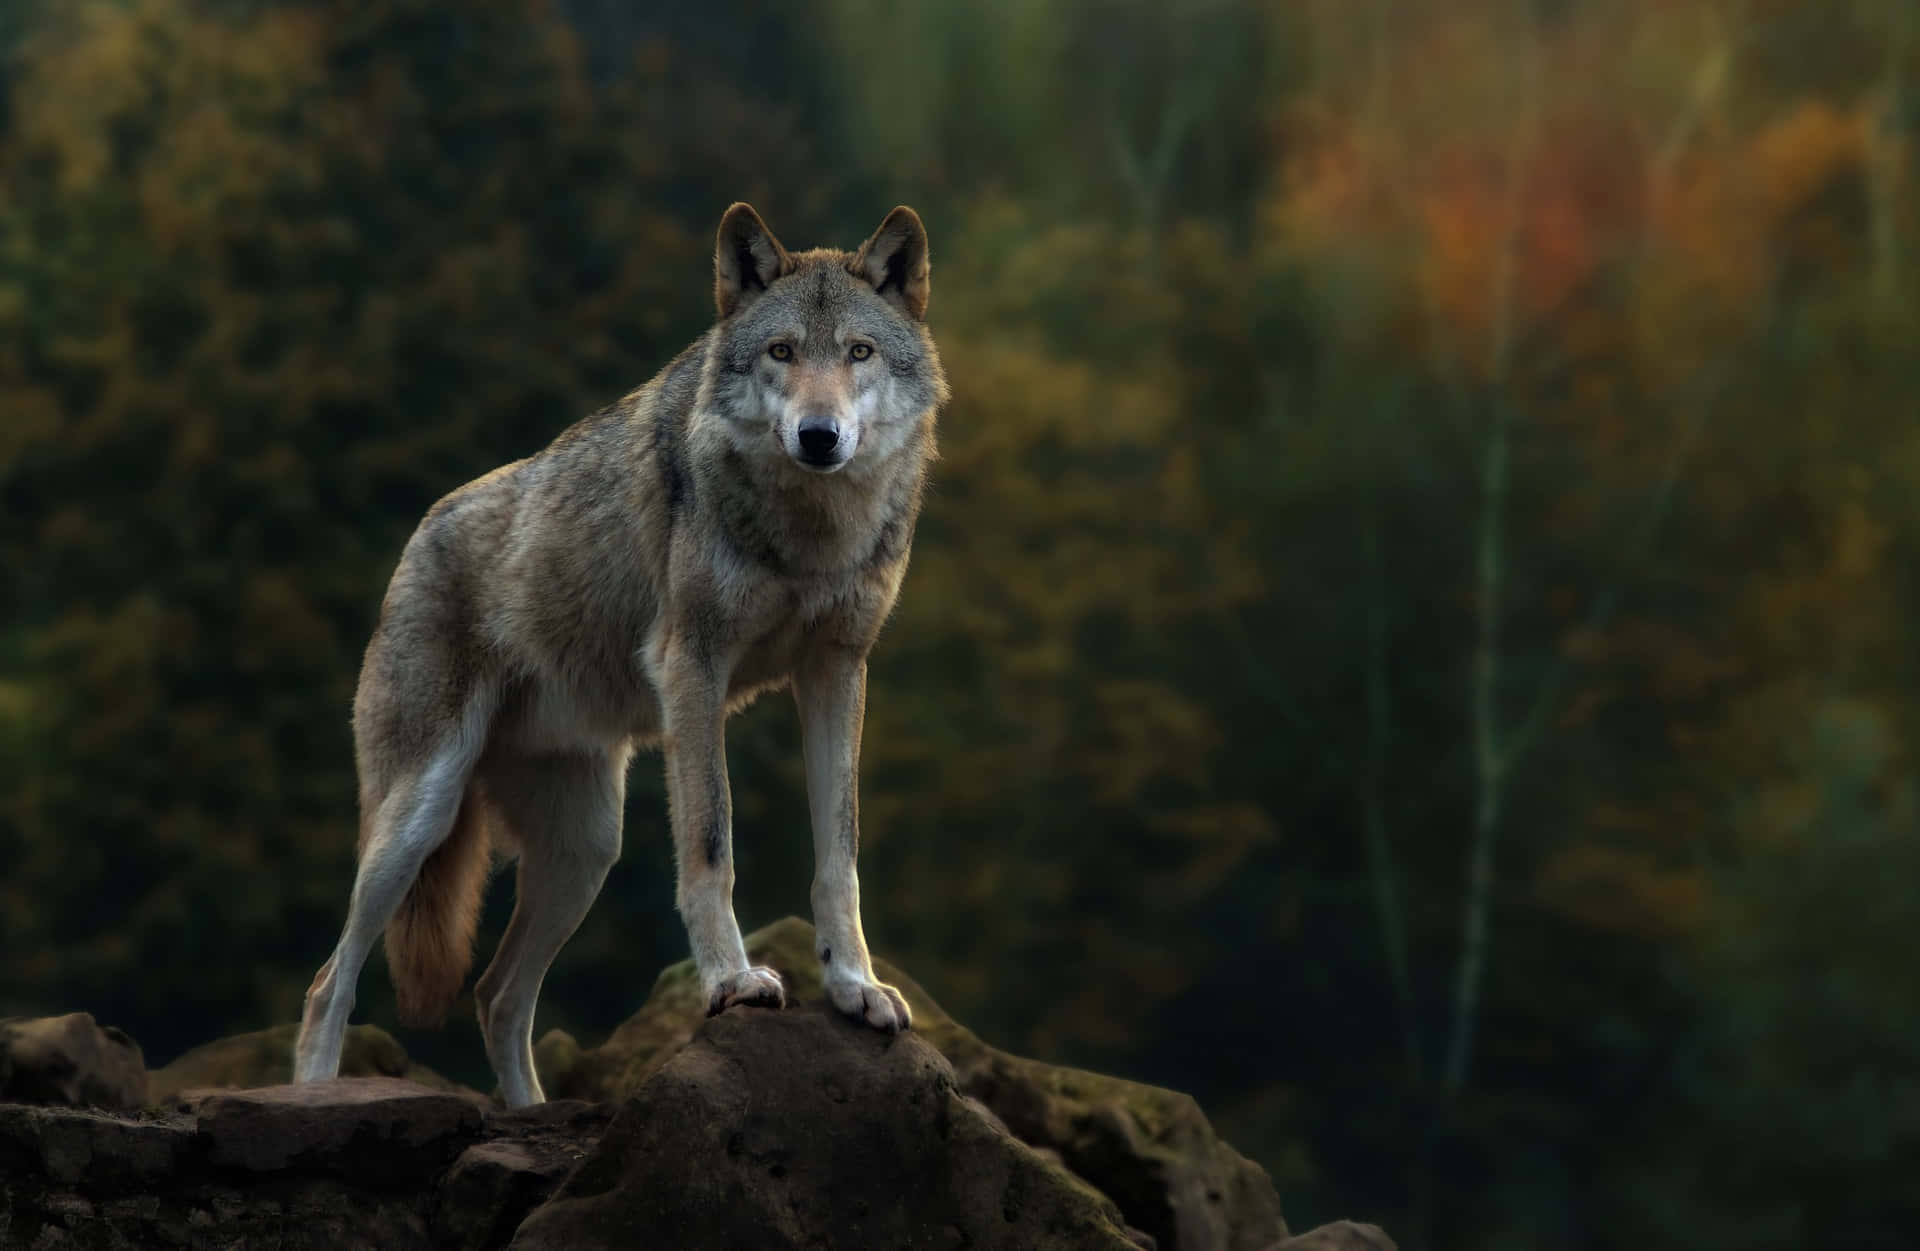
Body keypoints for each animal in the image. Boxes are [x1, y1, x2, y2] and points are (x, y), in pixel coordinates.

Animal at [289, 207, 944, 1112]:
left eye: (858, 351)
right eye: (781, 351)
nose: (820, 436)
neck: (808, 533)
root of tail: (418, 535)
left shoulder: (837, 672)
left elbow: (836, 856)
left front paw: (853, 986)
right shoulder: (692, 667)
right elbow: (711, 843)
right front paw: (733, 981)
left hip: (587, 847)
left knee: (496, 994)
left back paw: (531, 1111)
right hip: (419, 816)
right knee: (331, 981)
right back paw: (314, 1095)